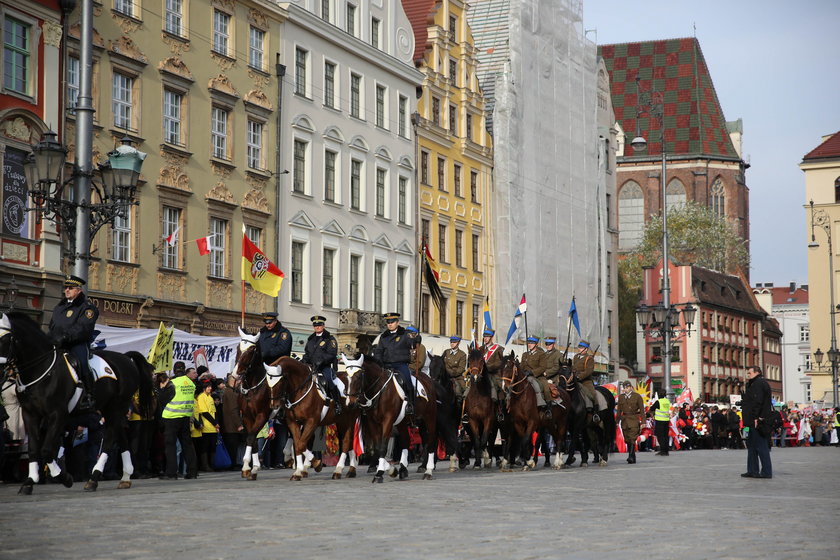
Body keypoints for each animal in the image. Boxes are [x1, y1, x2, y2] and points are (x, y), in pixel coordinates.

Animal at [0, 312, 153, 492]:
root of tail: (126, 358)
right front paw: (29, 482)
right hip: (110, 409)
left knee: (109, 440)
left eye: (5, 338)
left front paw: (64, 477)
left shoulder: (57, 414)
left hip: (117, 406)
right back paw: (126, 476)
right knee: (120, 436)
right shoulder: (30, 414)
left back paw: (94, 478)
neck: (42, 370)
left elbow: (46, 450)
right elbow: (34, 449)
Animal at [342, 354, 440, 482]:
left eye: (358, 377)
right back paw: (403, 470)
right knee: (406, 441)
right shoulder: (372, 422)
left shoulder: (387, 420)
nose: (350, 403)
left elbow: (383, 446)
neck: (380, 390)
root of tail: (428, 379)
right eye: (346, 377)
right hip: (403, 422)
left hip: (429, 418)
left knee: (431, 441)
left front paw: (379, 473)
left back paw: (428, 471)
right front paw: (392, 470)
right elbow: (378, 447)